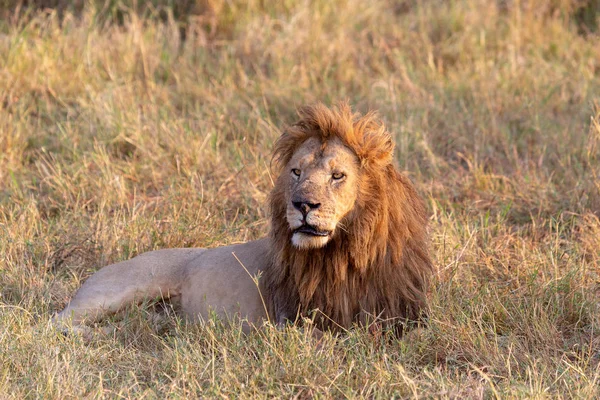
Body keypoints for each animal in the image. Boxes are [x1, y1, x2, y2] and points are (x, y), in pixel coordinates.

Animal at [54, 102, 434, 334]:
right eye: (296, 172)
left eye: (337, 176)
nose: (302, 205)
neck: (346, 253)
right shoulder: (296, 320)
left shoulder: (403, 311)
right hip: (117, 290)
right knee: (55, 322)